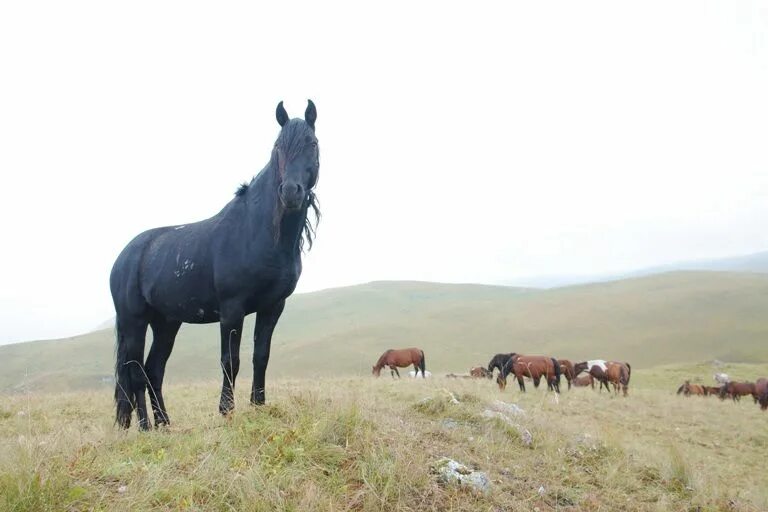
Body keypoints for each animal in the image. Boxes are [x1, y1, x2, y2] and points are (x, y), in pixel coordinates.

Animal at [109, 100, 320, 428]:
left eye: (312, 143)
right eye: (277, 147)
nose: (290, 192)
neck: (255, 232)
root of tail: (124, 256)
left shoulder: (273, 307)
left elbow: (261, 356)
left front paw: (258, 406)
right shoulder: (232, 309)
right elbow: (230, 361)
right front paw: (226, 410)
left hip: (166, 323)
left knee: (153, 370)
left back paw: (164, 424)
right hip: (134, 322)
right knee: (135, 372)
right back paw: (145, 426)